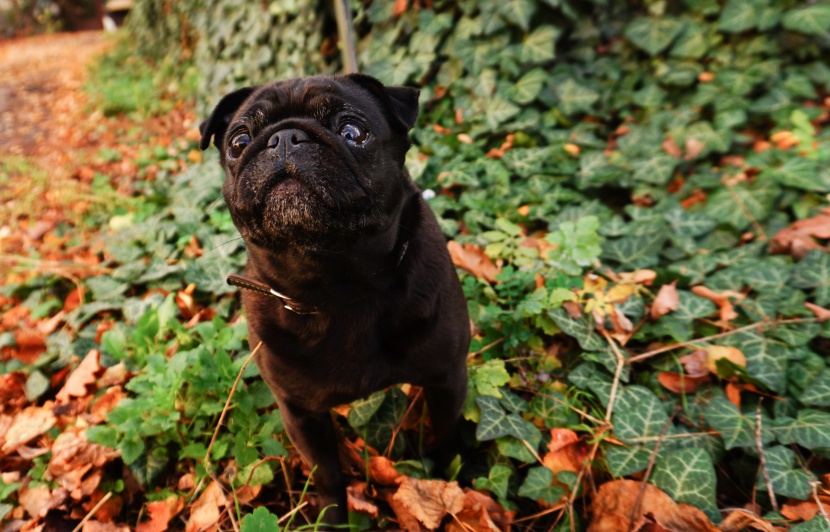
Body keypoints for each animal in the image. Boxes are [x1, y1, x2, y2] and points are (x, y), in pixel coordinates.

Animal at [199, 74, 472, 524]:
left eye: (353, 132)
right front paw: (330, 519)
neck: (339, 288)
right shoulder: (300, 413)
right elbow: (327, 475)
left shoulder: (447, 378)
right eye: (239, 141)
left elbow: (450, 439)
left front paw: (463, 488)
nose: (284, 138)